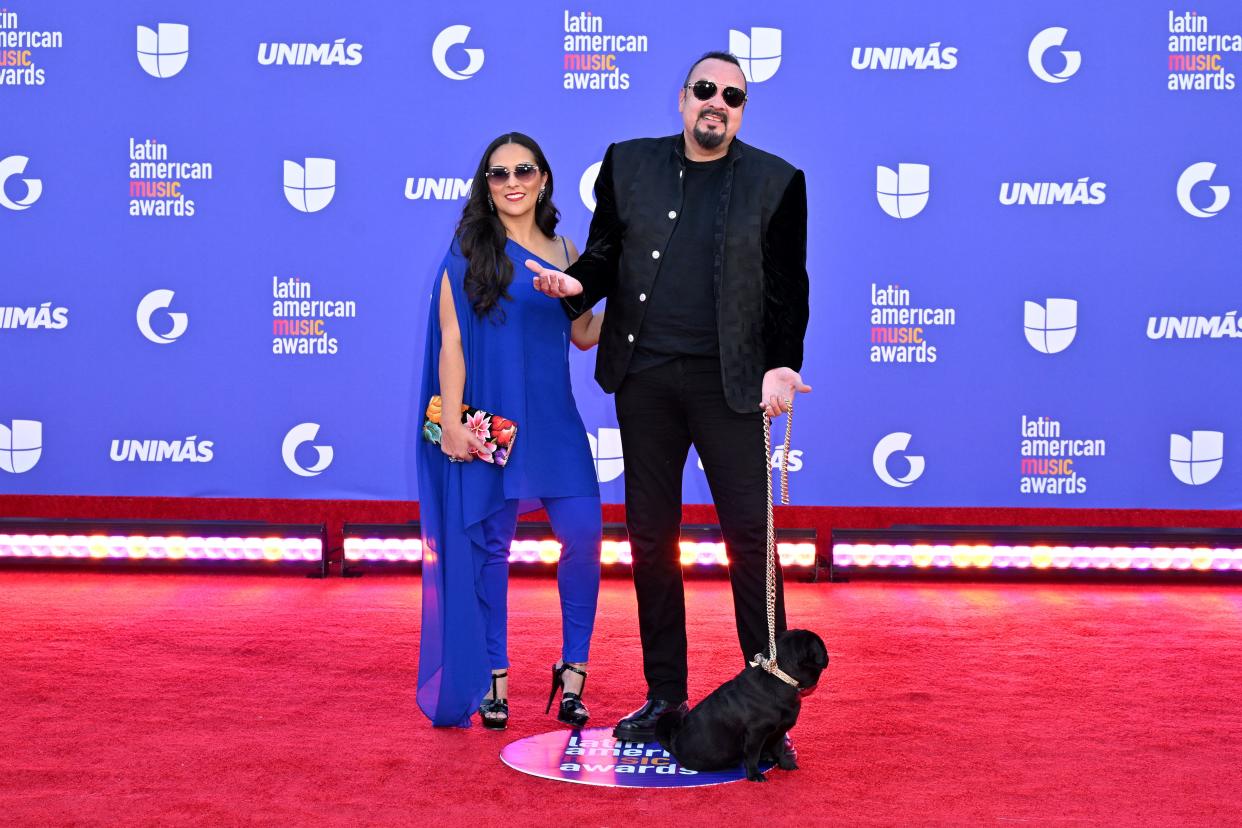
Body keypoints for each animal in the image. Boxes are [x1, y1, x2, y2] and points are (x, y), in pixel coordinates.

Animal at [655, 630, 829, 779]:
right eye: (822, 646)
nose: (827, 654)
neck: (780, 677)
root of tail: (673, 742)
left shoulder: (780, 731)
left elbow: (779, 749)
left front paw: (785, 764)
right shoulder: (755, 733)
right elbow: (752, 756)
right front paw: (754, 774)